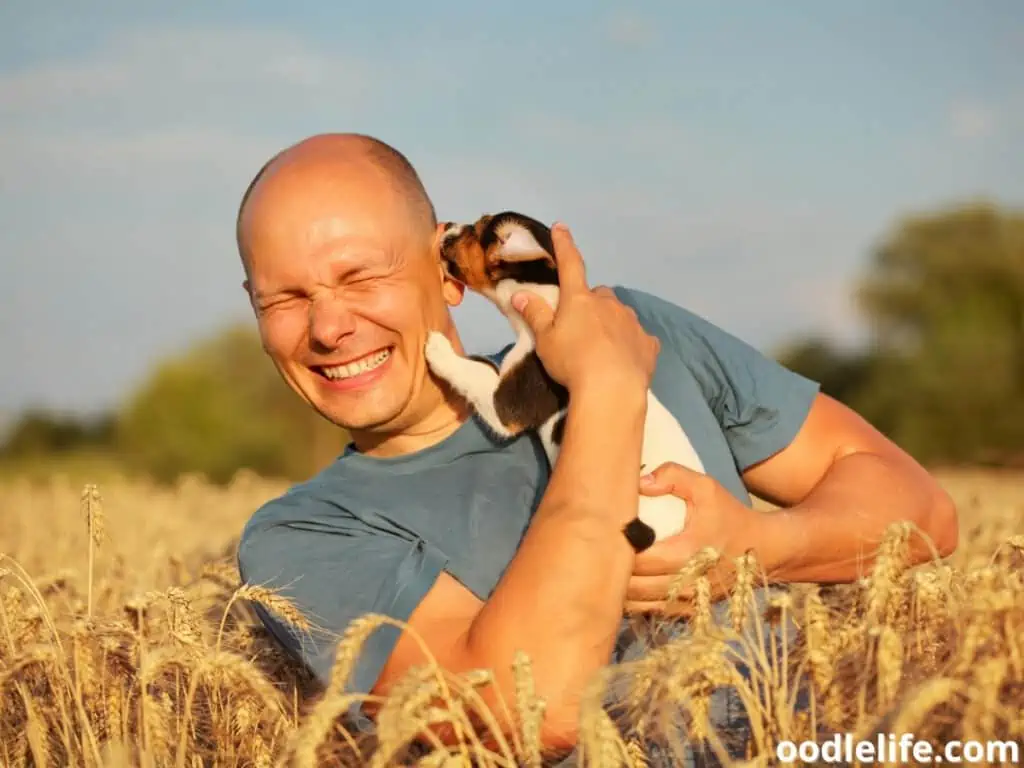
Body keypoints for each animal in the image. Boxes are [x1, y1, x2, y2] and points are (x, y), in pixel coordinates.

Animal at [423, 210, 704, 552]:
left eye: (477, 229)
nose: (448, 225)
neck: (546, 300)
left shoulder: (507, 407)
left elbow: (472, 373)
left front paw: (437, 348)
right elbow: (484, 367)